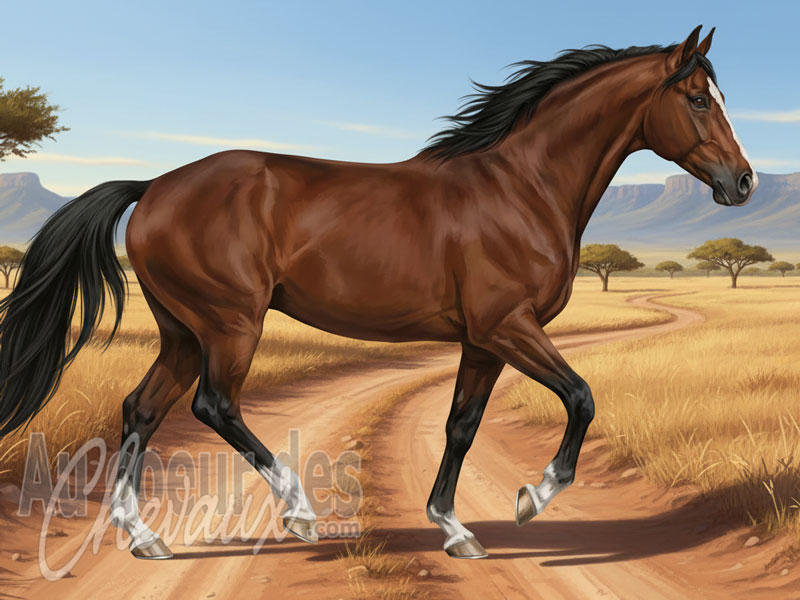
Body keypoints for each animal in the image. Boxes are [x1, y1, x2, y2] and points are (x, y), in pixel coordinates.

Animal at [0, 25, 756, 560]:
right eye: (697, 98)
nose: (743, 182)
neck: (522, 187)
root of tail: (153, 186)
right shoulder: (509, 325)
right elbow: (580, 396)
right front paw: (530, 499)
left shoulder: (483, 340)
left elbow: (460, 425)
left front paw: (454, 529)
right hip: (230, 324)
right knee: (214, 405)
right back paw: (299, 514)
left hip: (183, 330)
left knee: (142, 409)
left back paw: (144, 538)